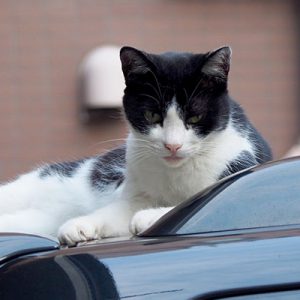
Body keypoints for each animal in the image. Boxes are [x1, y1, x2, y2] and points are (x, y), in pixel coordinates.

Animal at [0, 45, 274, 246]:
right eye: (152, 116)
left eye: (195, 118)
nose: (173, 145)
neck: (175, 175)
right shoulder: (134, 193)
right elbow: (114, 211)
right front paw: (79, 225)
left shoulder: (239, 175)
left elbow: (190, 205)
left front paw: (150, 216)